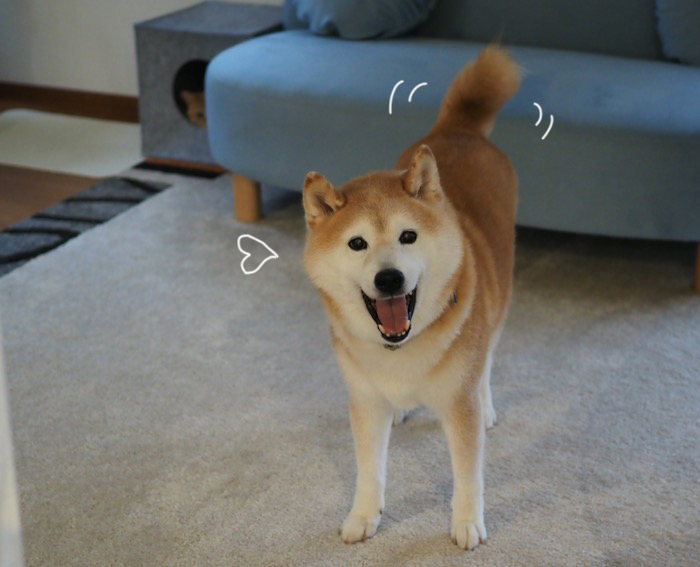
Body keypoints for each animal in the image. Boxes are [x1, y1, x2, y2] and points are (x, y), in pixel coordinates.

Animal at [302, 46, 520, 550]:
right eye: (357, 244)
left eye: (408, 236)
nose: (389, 279)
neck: (398, 351)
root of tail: (459, 130)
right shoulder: (364, 400)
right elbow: (370, 469)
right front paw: (363, 515)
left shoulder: (458, 406)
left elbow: (467, 474)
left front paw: (466, 522)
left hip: (499, 301)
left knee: (488, 359)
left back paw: (488, 404)